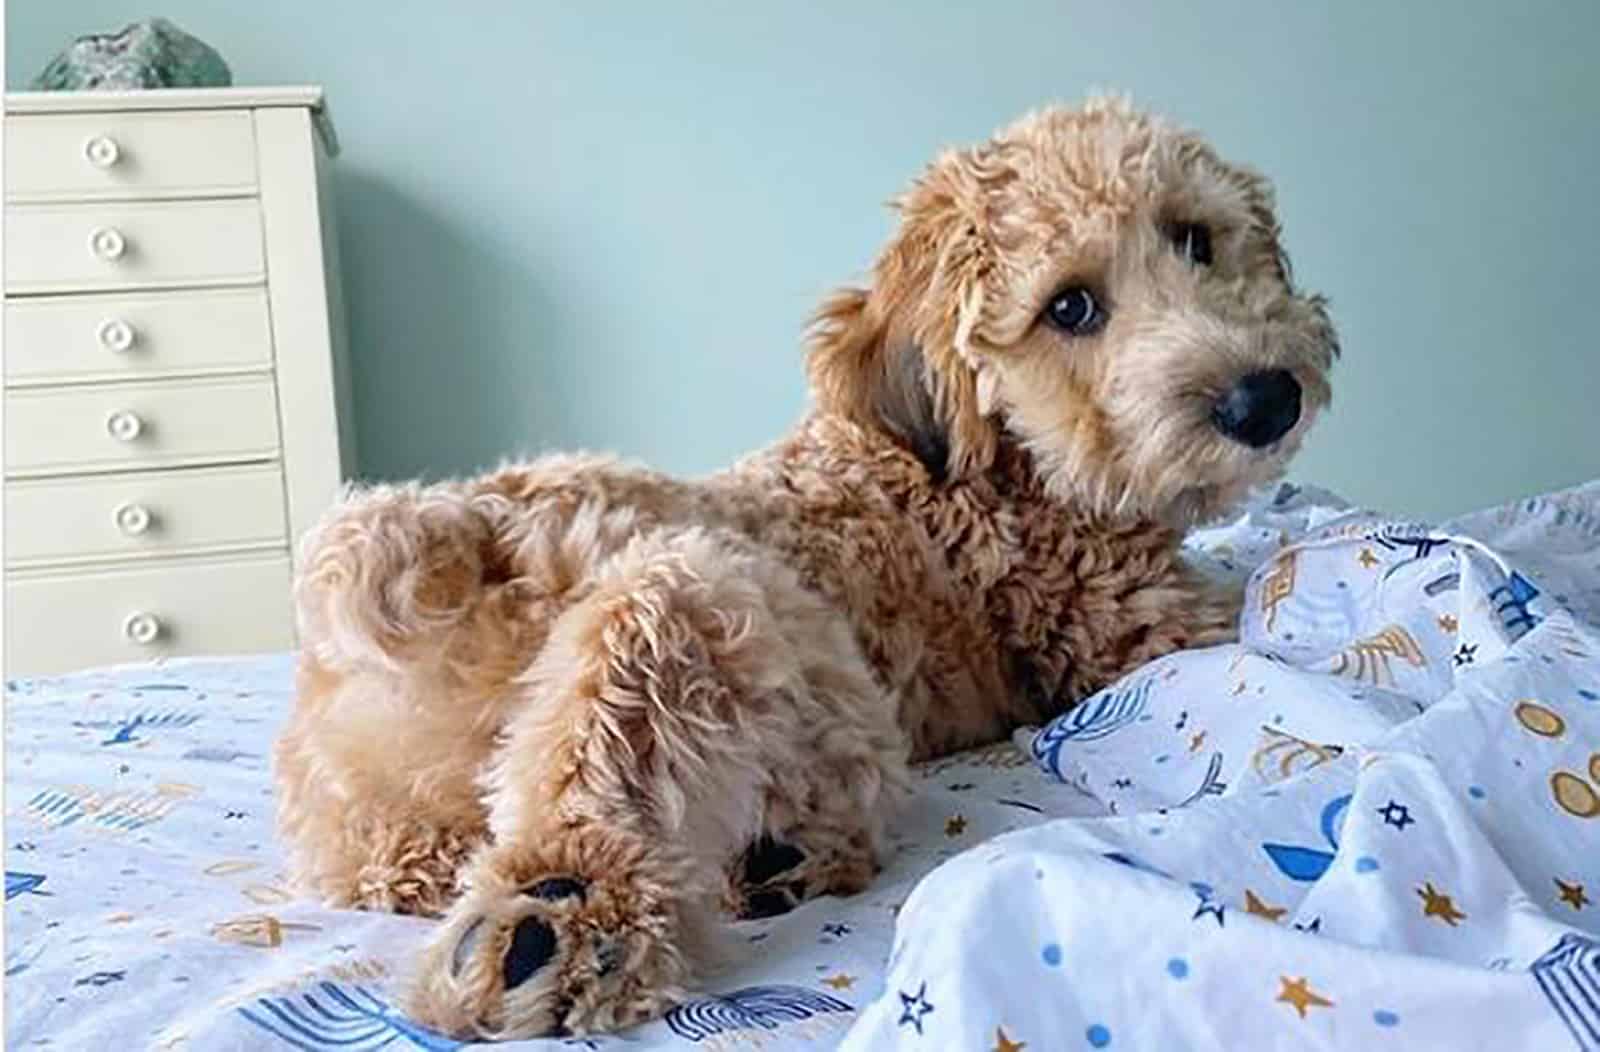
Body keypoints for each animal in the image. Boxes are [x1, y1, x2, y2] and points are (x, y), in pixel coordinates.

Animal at [275, 96, 1337, 1029]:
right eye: (1069, 306)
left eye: (1195, 237)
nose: (1265, 399)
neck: (990, 463)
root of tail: (455, 534)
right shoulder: (1130, 623)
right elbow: (1247, 602)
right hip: (706, 596)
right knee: (604, 750)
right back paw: (556, 920)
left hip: (374, 813)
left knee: (406, 855)